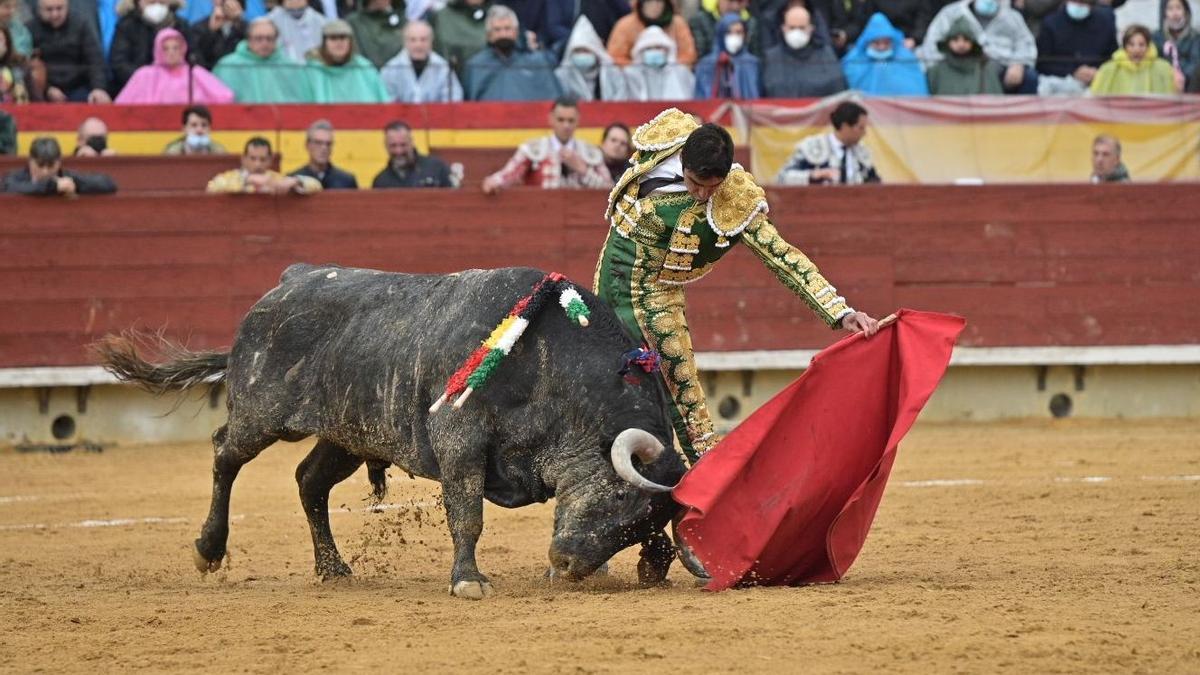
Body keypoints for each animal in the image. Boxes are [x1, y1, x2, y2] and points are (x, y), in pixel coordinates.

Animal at [99, 265, 700, 595]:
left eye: (637, 524)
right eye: (615, 500)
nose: (568, 565)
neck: (553, 365)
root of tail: (288, 281)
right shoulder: (460, 440)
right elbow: (467, 516)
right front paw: (468, 580)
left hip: (349, 432)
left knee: (309, 481)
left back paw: (333, 568)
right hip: (260, 413)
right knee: (225, 453)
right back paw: (208, 548)